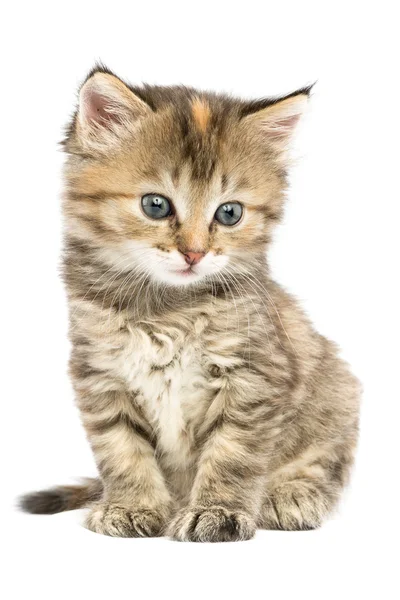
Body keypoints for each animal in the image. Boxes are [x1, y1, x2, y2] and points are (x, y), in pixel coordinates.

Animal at [20, 67, 360, 544]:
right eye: (155, 205)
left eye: (230, 213)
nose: (194, 253)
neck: (168, 310)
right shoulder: (100, 373)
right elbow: (121, 449)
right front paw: (131, 505)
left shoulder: (255, 375)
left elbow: (233, 453)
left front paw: (219, 511)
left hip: (339, 394)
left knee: (321, 465)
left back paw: (289, 496)